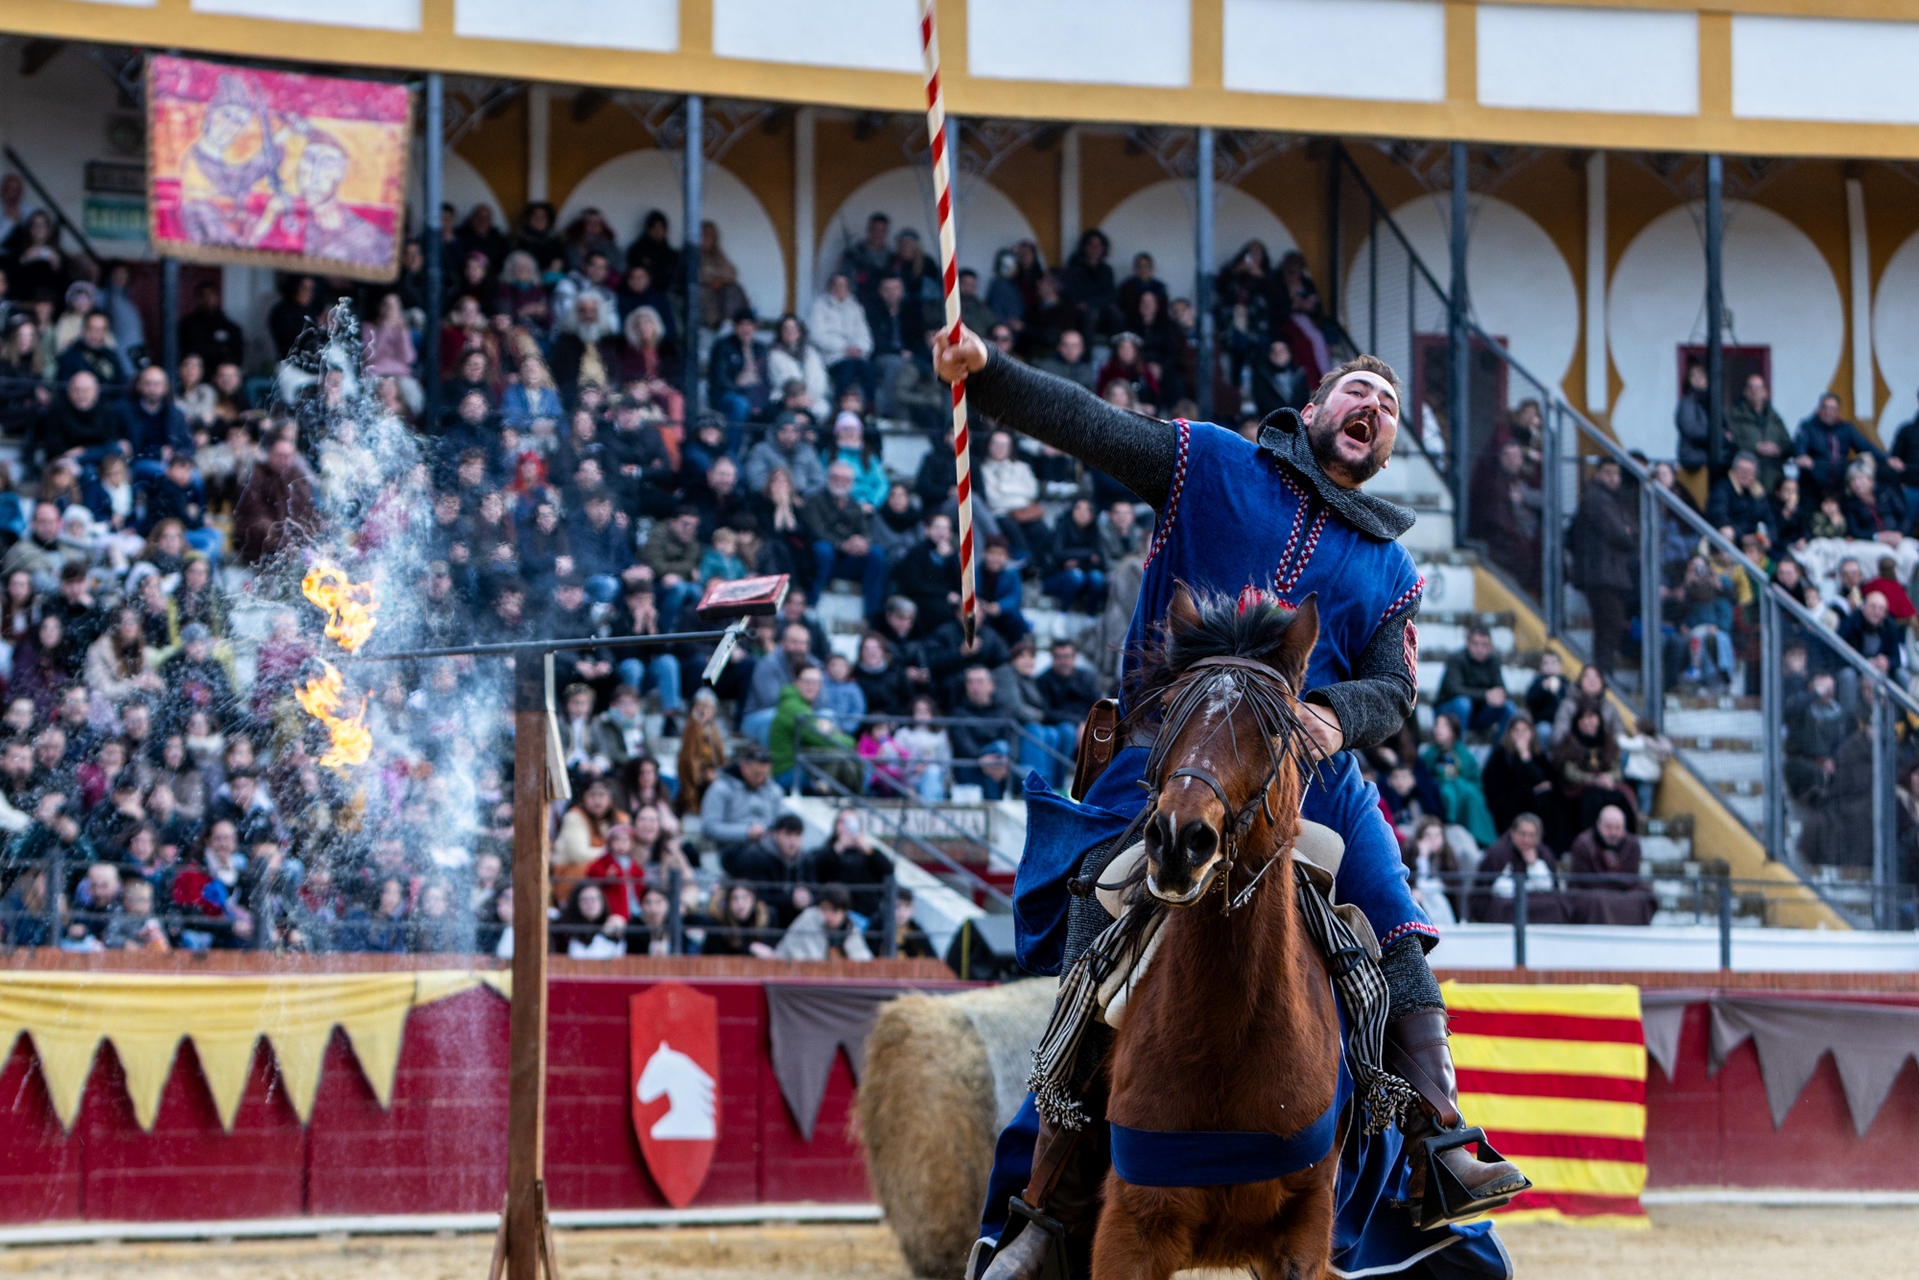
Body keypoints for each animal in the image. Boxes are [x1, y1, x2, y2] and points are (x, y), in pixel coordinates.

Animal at [1092, 583, 1344, 1280]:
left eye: (1274, 725)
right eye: (1171, 710)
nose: (1180, 840)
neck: (1231, 1027)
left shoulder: (1304, 1232)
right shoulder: (1131, 1230)